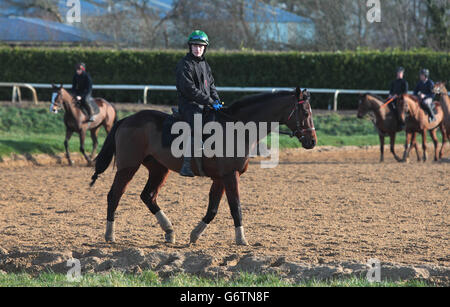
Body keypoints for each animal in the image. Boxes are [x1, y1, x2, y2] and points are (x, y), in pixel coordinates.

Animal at [89, 88, 316, 247]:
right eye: (305, 112)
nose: (312, 141)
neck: (238, 129)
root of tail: (126, 119)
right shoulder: (230, 175)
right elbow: (235, 207)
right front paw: (241, 239)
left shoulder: (220, 178)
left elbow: (213, 209)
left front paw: (194, 234)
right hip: (128, 166)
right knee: (114, 195)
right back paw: (110, 234)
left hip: (159, 169)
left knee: (148, 195)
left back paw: (169, 231)